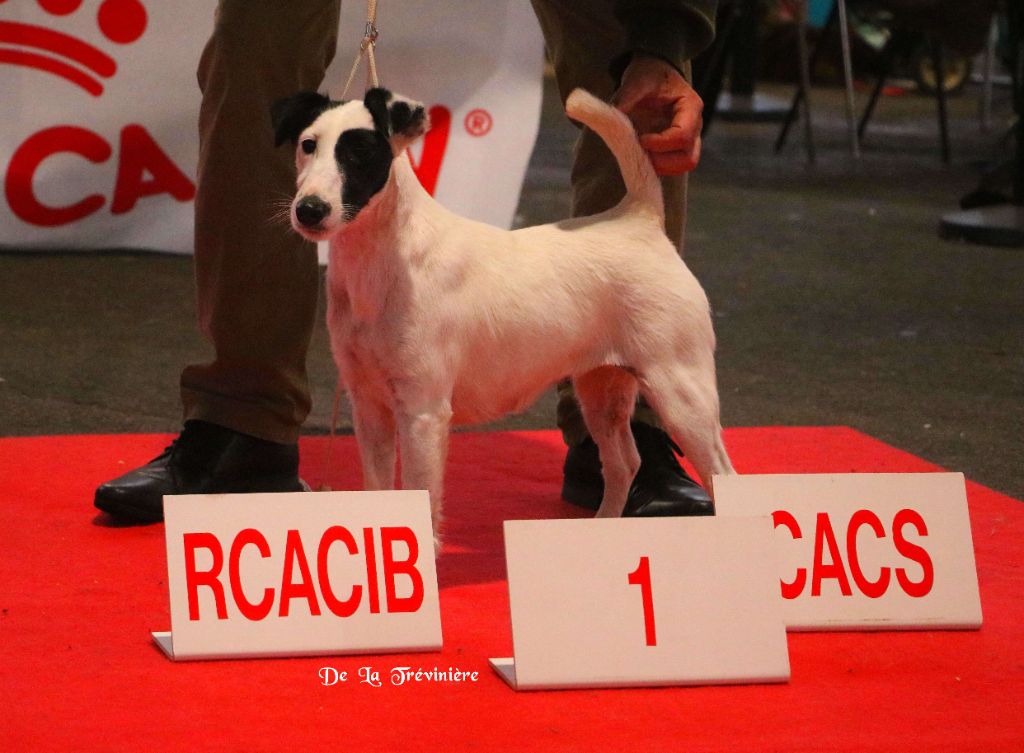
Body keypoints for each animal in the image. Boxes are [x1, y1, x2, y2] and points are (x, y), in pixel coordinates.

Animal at [272, 85, 737, 540]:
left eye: (360, 152)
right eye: (308, 145)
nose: (309, 210)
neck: (386, 258)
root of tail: (639, 221)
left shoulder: (423, 412)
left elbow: (423, 493)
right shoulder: (369, 408)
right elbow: (379, 488)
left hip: (680, 391)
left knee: (723, 474)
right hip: (601, 389)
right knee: (625, 462)